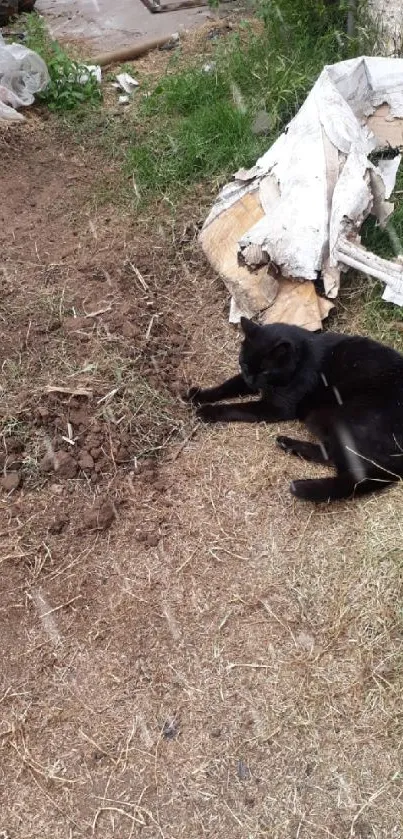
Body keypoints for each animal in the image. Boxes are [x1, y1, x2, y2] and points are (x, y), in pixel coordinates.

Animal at [185, 314, 403, 498]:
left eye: (265, 371)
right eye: (244, 364)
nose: (252, 380)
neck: (301, 359)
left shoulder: (275, 407)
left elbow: (238, 408)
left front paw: (208, 411)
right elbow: (228, 385)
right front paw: (197, 395)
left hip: (335, 416)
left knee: (355, 471)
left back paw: (303, 483)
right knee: (334, 455)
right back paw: (287, 444)